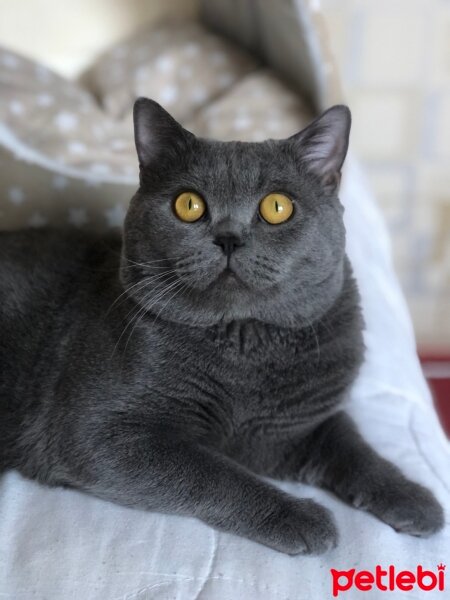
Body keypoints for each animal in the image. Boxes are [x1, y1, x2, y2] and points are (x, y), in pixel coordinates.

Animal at [0, 98, 442, 552]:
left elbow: (352, 446)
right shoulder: (98, 434)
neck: (245, 346)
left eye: (277, 206)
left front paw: (414, 499)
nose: (229, 237)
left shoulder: (292, 428)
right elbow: (214, 471)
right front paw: (303, 517)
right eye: (188, 204)